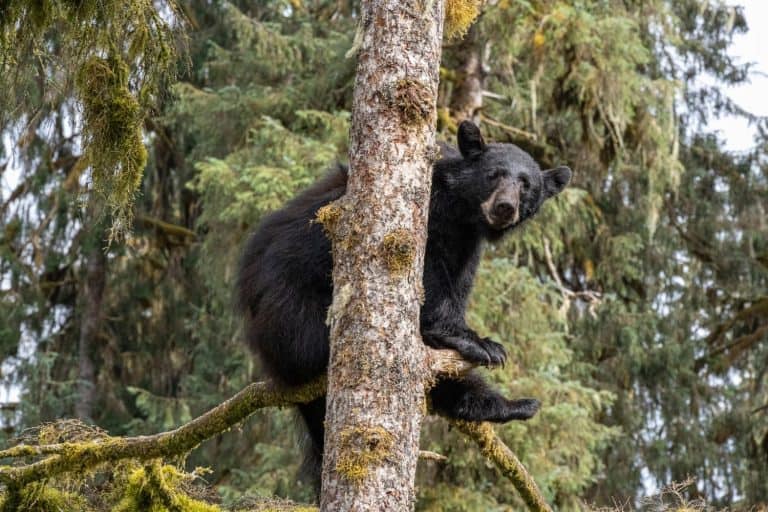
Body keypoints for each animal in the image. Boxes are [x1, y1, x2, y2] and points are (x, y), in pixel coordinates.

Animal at [237, 120, 572, 485]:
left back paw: (512, 405)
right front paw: (473, 340)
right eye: (494, 175)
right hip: (295, 314)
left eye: (526, 185)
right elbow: (429, 277)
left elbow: (459, 284)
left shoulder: (467, 245)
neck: (462, 213)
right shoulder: (429, 215)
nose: (504, 207)